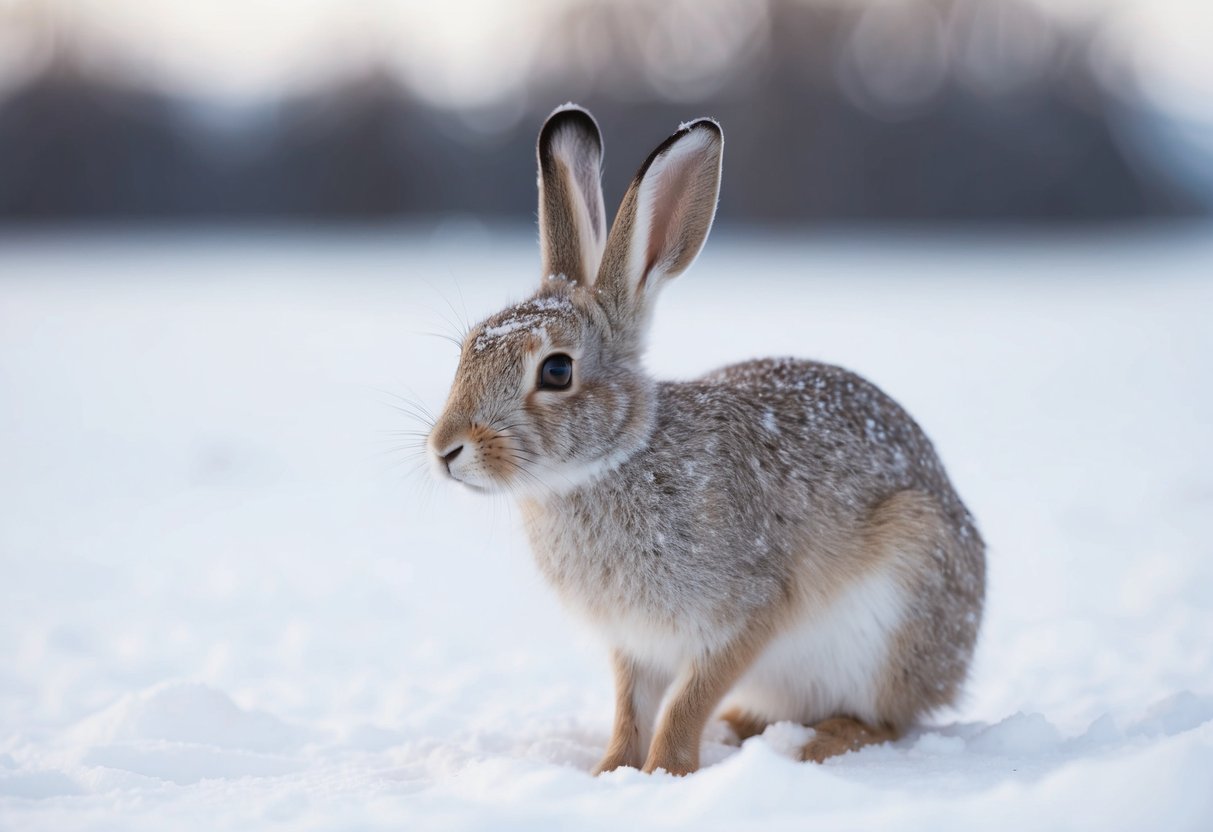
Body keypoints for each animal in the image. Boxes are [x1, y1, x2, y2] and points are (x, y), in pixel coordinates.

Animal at [426, 104, 985, 775]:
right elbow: (631, 707)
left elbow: (686, 703)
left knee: (888, 720)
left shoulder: (746, 613)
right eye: (469, 348)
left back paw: (818, 744)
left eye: (556, 371)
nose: (445, 450)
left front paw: (665, 772)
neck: (613, 462)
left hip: (900, 599)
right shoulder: (634, 645)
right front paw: (612, 772)